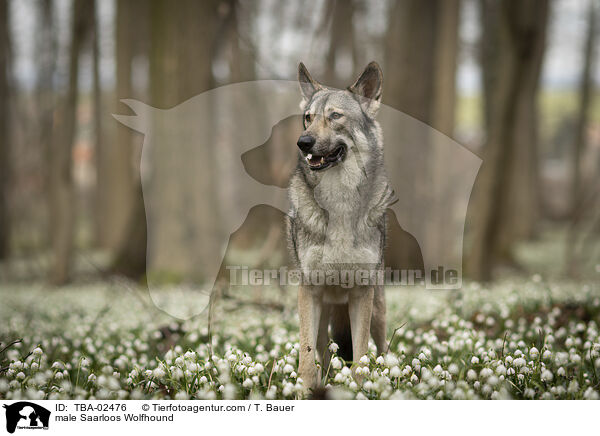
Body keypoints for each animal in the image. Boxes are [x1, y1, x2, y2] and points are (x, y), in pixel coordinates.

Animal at [286, 61, 394, 388]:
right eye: (308, 118)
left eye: (335, 116)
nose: (303, 142)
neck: (339, 201)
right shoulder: (309, 291)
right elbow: (306, 356)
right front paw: (305, 390)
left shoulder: (361, 293)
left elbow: (360, 356)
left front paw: (361, 389)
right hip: (325, 312)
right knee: (322, 352)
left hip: (378, 309)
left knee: (382, 349)